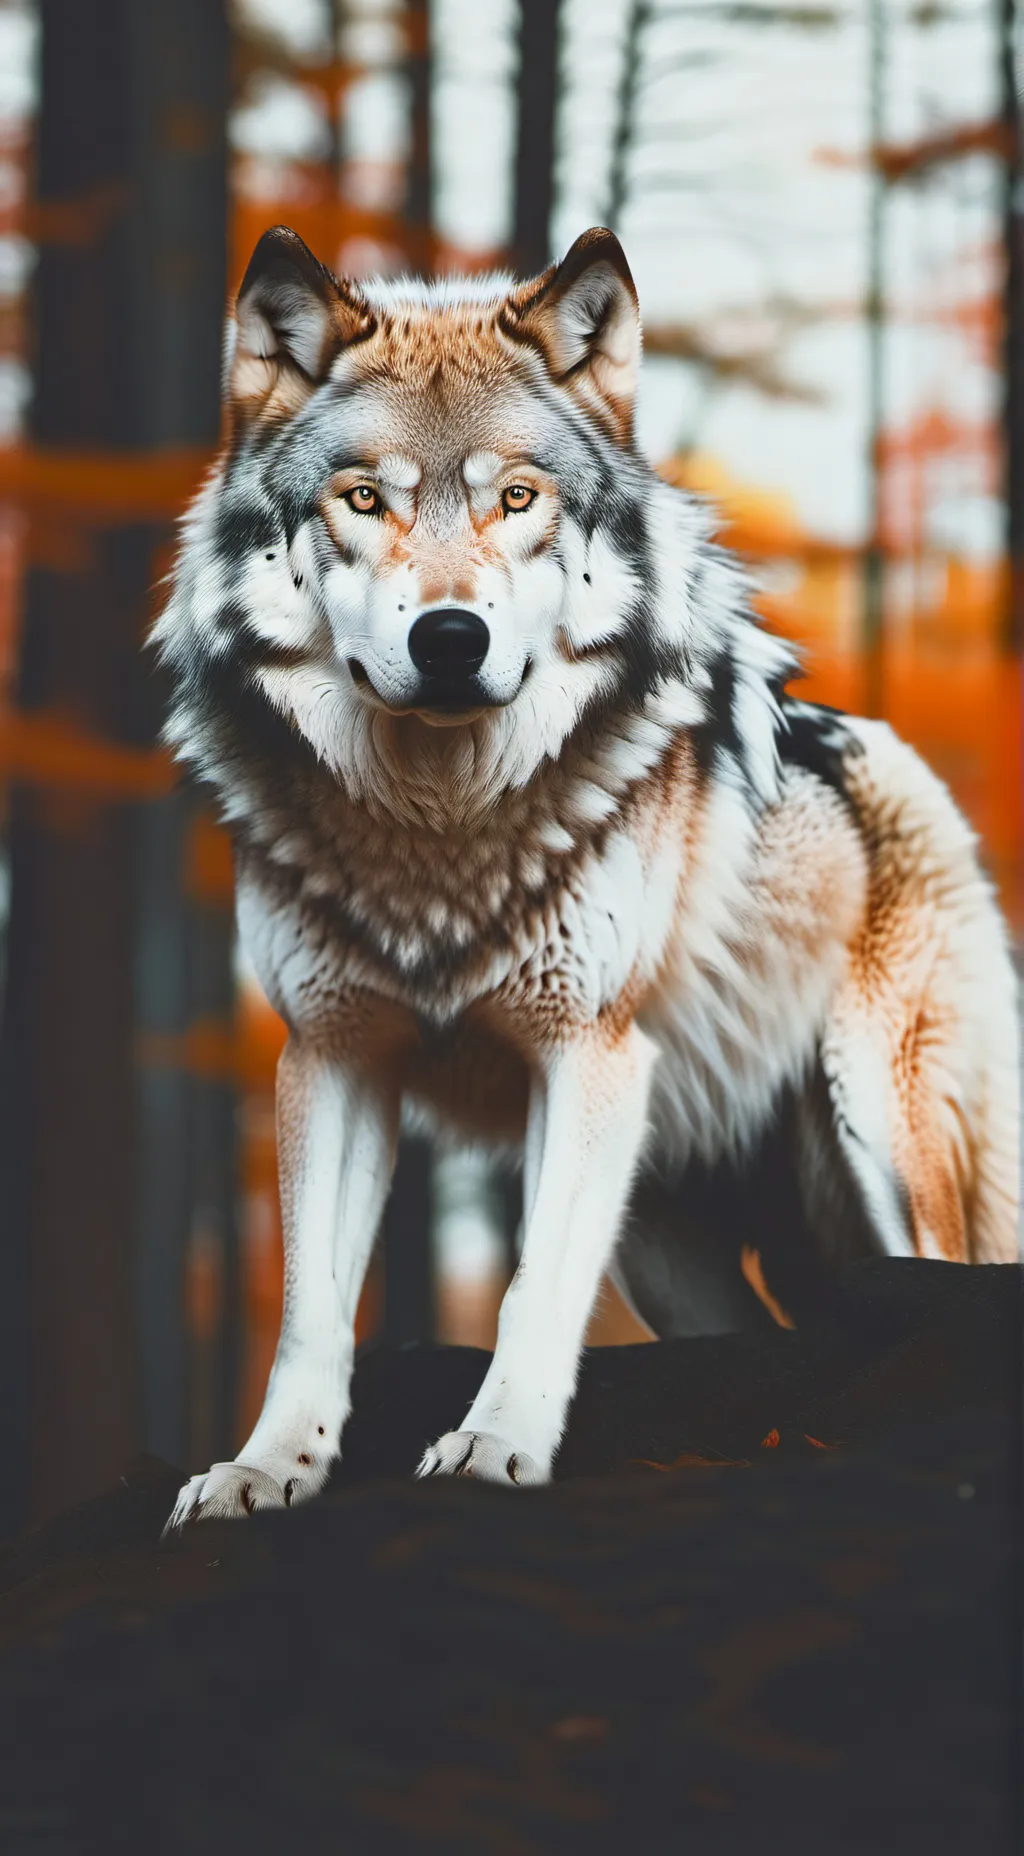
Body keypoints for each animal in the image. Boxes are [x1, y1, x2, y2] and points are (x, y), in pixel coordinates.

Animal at [159, 224, 1019, 1524]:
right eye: (363, 499)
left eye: (518, 498)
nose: (449, 638)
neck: (440, 827)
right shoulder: (334, 1054)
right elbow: (313, 1311)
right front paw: (269, 1467)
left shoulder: (583, 1054)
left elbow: (530, 1288)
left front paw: (492, 1445)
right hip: (669, 1230)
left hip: (878, 1150)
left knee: (940, 1287)